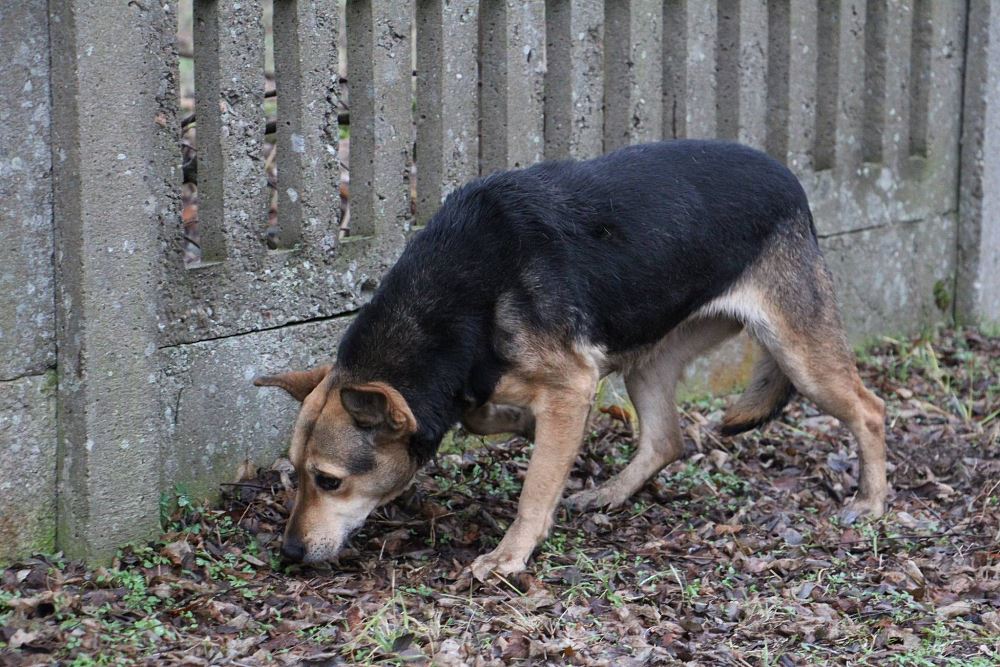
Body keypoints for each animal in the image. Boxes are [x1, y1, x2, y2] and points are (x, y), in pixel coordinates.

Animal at [255, 140, 887, 580]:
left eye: (328, 481)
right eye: (295, 475)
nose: (288, 552)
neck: (452, 298)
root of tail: (791, 179)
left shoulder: (571, 386)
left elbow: (535, 489)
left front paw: (510, 555)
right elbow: (483, 414)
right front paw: (517, 423)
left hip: (799, 353)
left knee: (869, 409)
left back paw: (871, 501)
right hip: (649, 357)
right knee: (666, 439)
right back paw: (609, 493)